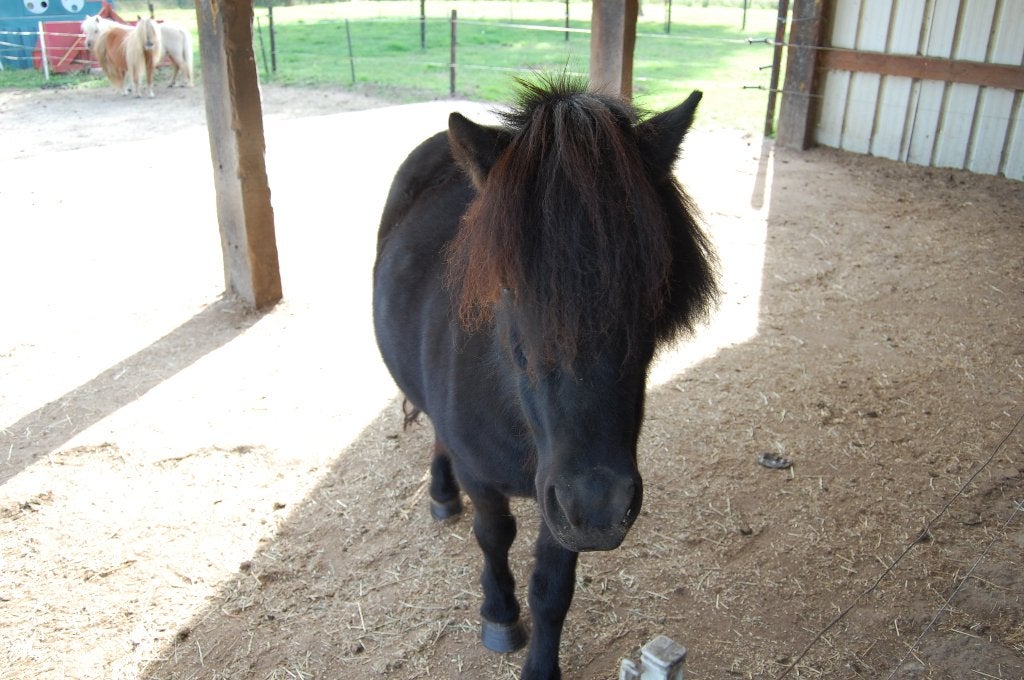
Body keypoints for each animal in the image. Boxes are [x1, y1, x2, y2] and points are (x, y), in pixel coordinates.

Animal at [372, 76, 718, 680]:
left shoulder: (564, 503)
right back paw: (442, 493)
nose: (600, 507)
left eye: (653, 288)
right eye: (508, 286)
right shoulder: (493, 481)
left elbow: (553, 586)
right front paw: (500, 616)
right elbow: (494, 538)